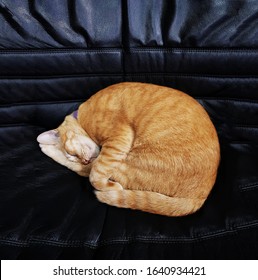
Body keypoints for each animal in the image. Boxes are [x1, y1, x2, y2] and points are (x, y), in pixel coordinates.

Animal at [37, 81, 220, 217]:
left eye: (72, 153)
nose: (84, 160)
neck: (82, 114)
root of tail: (199, 197)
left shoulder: (117, 139)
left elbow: (94, 175)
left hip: (130, 163)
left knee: (90, 173)